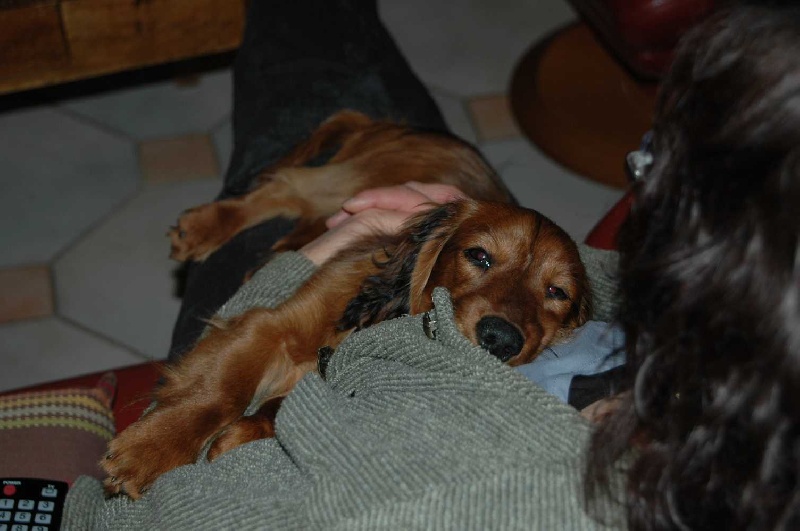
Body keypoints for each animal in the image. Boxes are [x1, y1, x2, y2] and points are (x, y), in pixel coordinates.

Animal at [101, 112, 591, 499]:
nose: (501, 339)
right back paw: (206, 225)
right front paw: (151, 450)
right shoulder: (271, 327)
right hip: (345, 184)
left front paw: (245, 432)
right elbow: (219, 392)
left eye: (557, 293)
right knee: (282, 190)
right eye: (479, 256)